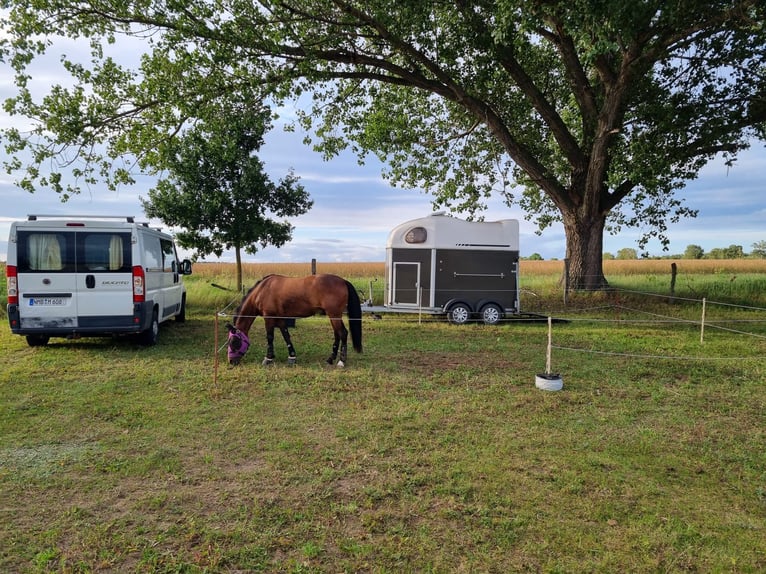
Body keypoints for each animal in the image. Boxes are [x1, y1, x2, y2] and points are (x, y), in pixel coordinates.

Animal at [227, 274, 363, 367]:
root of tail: (343, 281)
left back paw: (341, 361)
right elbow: (286, 336)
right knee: (337, 334)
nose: (231, 361)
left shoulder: (269, 317)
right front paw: (292, 357)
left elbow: (270, 337)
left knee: (343, 333)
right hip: (333, 316)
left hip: (334, 314)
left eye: (234, 342)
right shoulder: (280, 318)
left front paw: (268, 358)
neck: (262, 291)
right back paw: (330, 359)